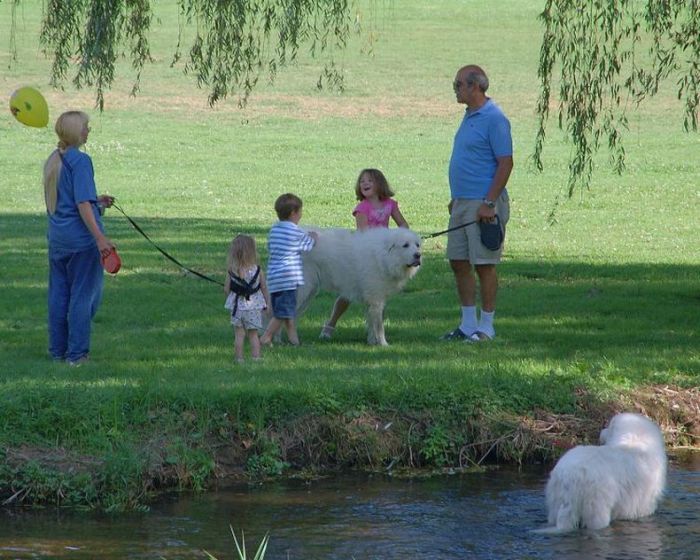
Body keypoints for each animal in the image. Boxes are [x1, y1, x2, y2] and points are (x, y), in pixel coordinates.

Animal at [540, 414, 668, 532]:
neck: (635, 439)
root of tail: (570, 476)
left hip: (555, 499)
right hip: (596, 504)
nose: (601, 432)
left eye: (609, 426)